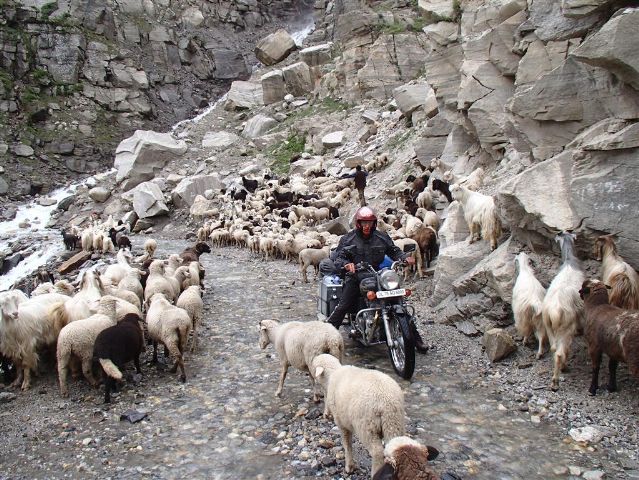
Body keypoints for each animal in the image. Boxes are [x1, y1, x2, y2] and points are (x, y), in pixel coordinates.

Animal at [540, 231, 584, 392]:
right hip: (566, 327)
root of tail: (554, 312)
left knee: (554, 348)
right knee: (560, 352)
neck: (569, 260)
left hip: (548, 324)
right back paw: (556, 380)